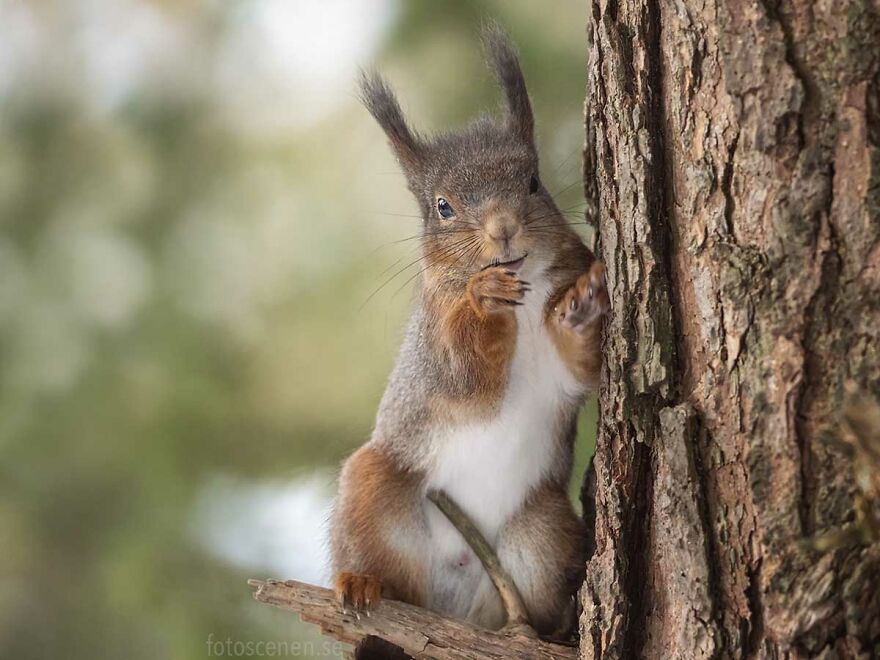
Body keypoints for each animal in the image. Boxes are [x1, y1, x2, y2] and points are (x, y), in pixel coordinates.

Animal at [330, 26, 609, 638]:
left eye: (533, 182)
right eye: (442, 207)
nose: (503, 228)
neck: (524, 303)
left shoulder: (558, 375)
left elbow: (579, 370)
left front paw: (580, 307)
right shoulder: (437, 346)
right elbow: (466, 379)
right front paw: (483, 298)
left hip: (541, 529)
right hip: (374, 486)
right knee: (382, 566)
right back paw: (360, 583)